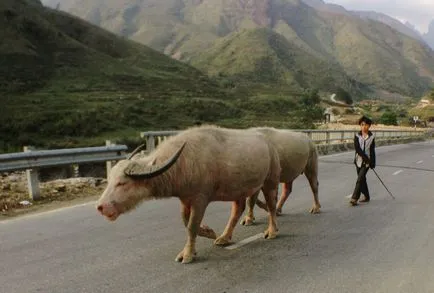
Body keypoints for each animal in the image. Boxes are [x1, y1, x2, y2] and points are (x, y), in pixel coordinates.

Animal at [96, 124, 282, 264]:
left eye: (122, 183)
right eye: (109, 180)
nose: (101, 207)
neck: (184, 163)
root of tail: (269, 144)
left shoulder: (201, 199)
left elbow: (191, 225)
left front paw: (187, 254)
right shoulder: (185, 199)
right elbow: (186, 222)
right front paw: (208, 232)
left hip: (270, 181)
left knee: (272, 205)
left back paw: (272, 231)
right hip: (239, 189)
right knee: (238, 208)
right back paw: (224, 237)